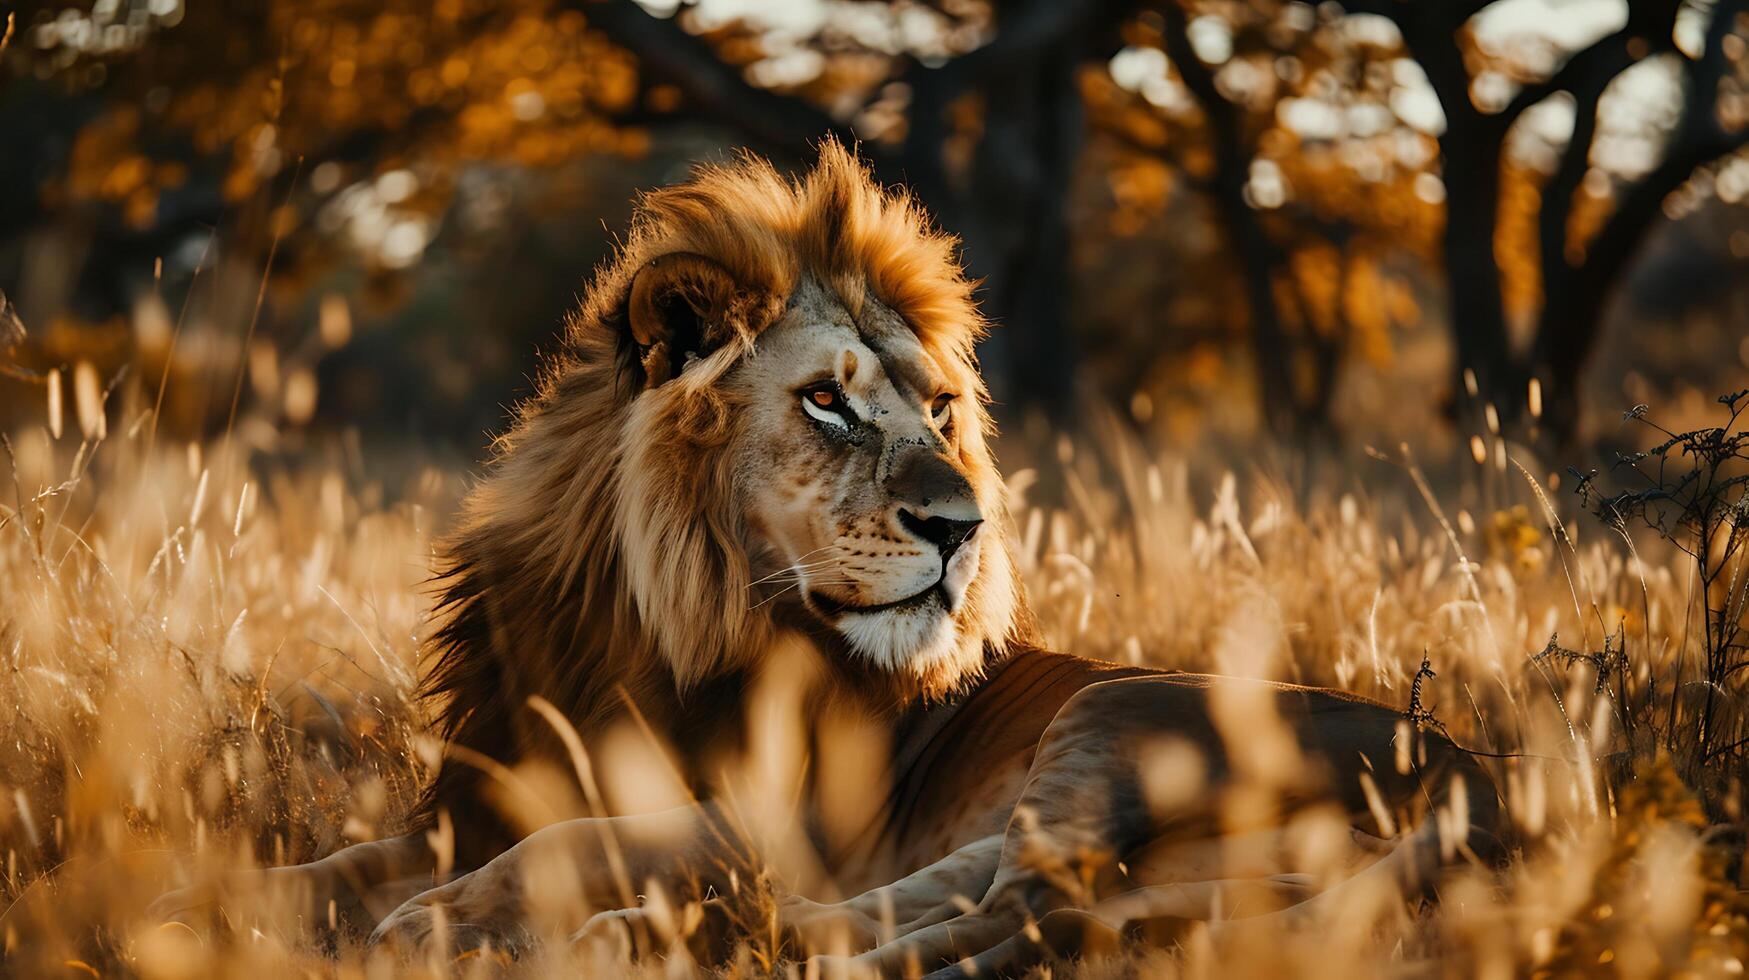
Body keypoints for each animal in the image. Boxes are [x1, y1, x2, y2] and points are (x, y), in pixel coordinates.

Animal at [150, 141, 1504, 973]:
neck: (645, 622)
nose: (964, 526)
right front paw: (219, 900)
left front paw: (440, 919)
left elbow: (576, 841)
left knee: (1023, 900)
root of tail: (1486, 792)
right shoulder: (485, 788)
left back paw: (705, 933)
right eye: (828, 403)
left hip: (1119, 710)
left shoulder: (787, 813)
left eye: (943, 410)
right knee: (1036, 908)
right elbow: (350, 855)